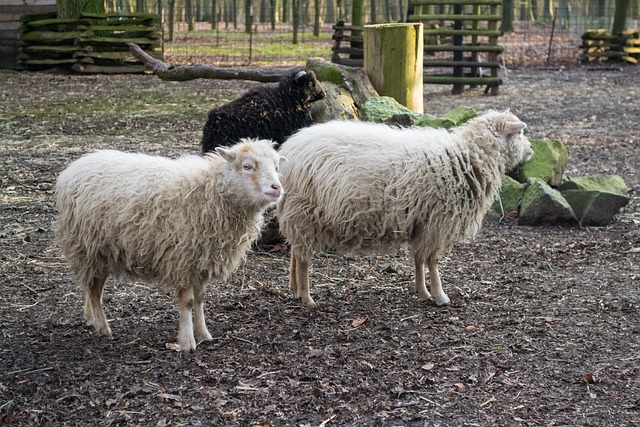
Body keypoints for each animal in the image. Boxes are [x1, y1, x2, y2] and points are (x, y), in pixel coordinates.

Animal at [53, 139, 284, 352]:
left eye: (276, 166)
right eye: (247, 166)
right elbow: (188, 302)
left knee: (91, 289)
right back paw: (102, 328)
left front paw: (204, 334)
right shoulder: (183, 259)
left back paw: (91, 319)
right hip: (90, 249)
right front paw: (188, 342)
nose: (277, 188)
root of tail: (73, 167)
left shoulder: (202, 259)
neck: (210, 192)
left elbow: (200, 299)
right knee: (94, 291)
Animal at [278, 110, 532, 310]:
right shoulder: (438, 221)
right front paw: (440, 295)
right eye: (520, 134)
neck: (468, 157)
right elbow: (432, 261)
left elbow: (419, 259)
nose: (531, 150)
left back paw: (295, 289)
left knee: (296, 252)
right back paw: (307, 297)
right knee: (303, 258)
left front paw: (423, 292)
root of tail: (289, 150)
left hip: (297, 213)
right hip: (305, 212)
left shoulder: (422, 222)